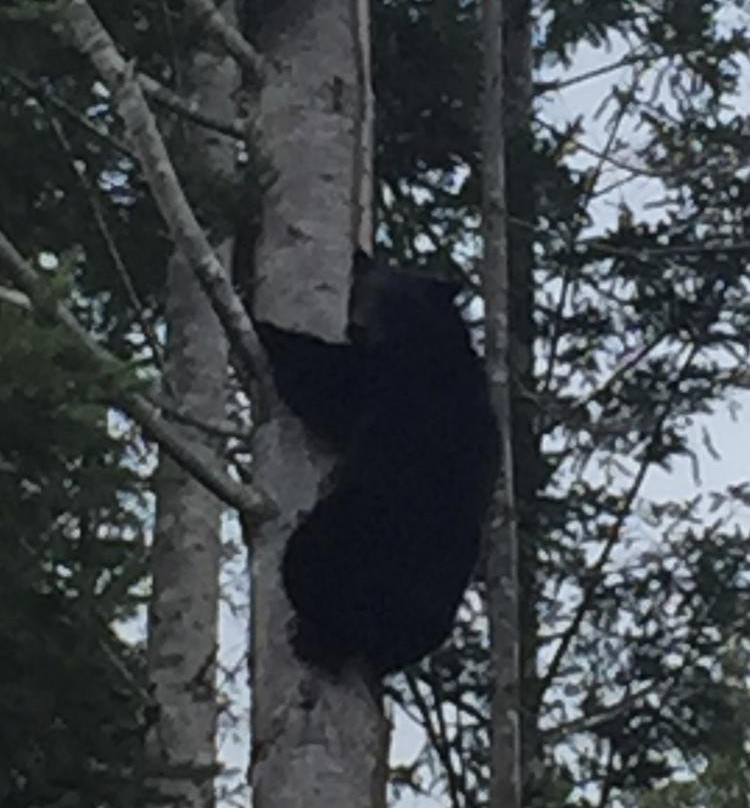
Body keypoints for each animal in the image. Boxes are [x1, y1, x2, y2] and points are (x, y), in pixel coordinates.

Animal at [258, 251, 500, 676]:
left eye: (381, 298)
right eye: (358, 294)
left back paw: (314, 635)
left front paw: (267, 327)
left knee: (305, 566)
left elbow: (321, 382)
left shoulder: (384, 376)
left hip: (345, 527)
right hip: (445, 581)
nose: (356, 325)